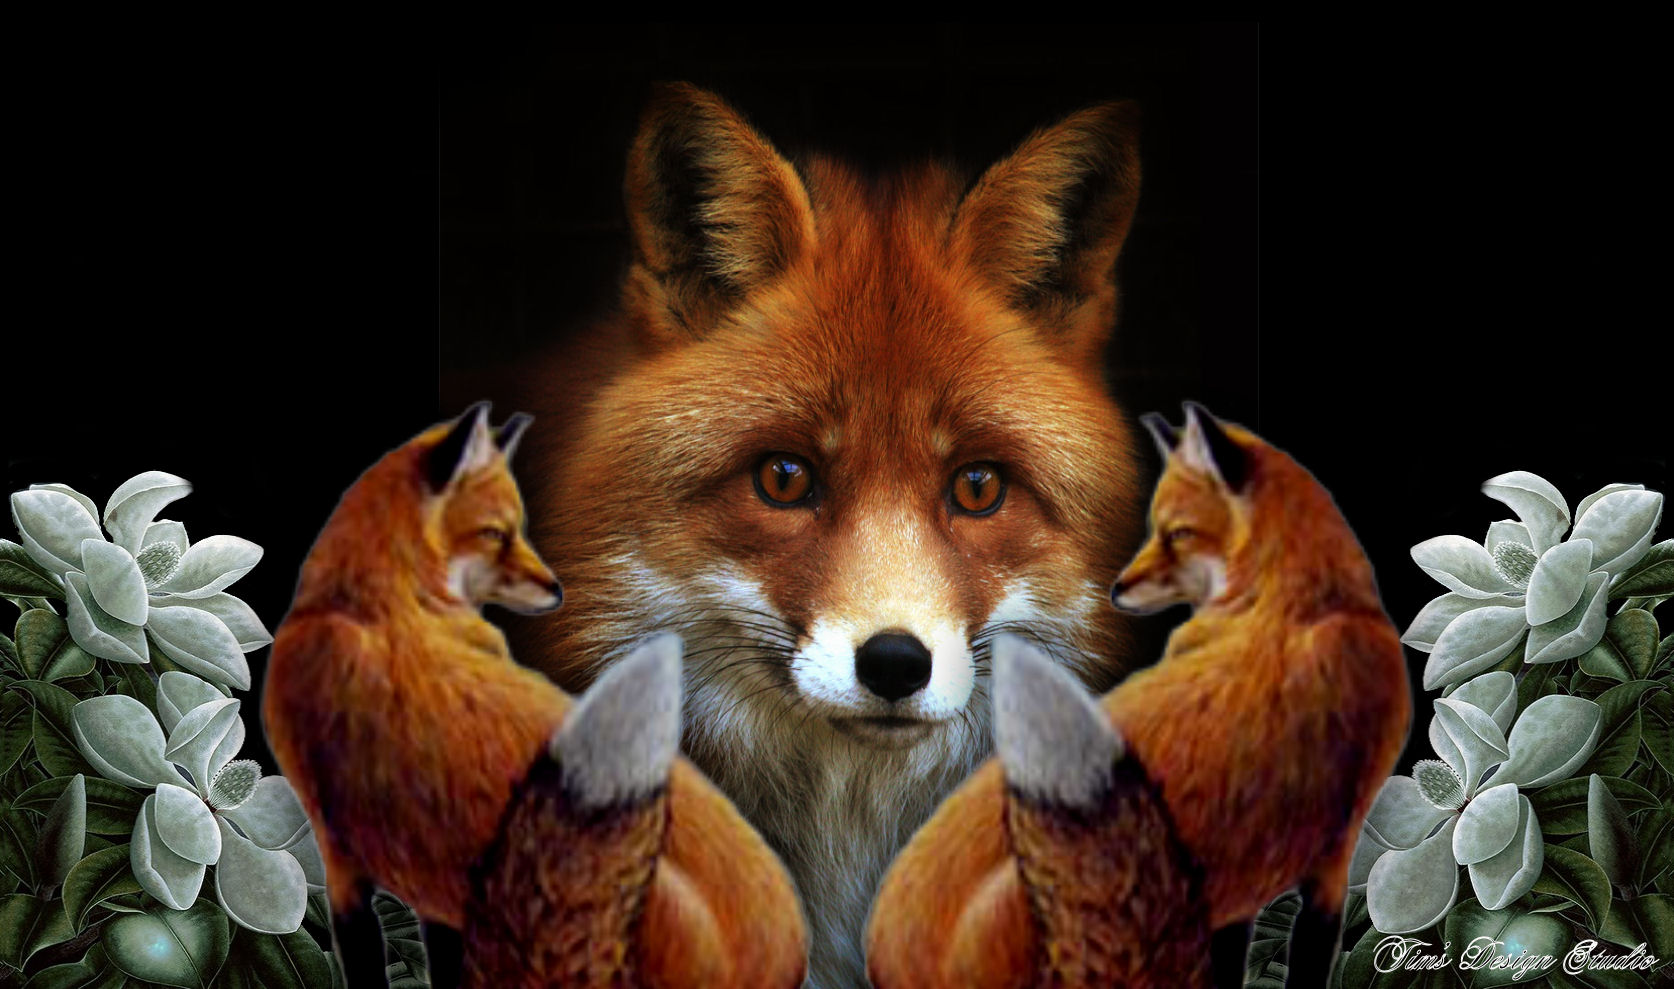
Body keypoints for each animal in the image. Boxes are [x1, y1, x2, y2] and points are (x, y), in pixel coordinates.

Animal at [262, 403, 804, 988]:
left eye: (516, 528)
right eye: (495, 534)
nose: (557, 589)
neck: (378, 604)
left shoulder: (344, 859)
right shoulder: (410, 886)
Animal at [869, 405, 1411, 989]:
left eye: (1179, 534)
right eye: (1157, 528)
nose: (1116, 589)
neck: (1297, 605)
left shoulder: (1265, 883)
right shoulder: (1328, 859)